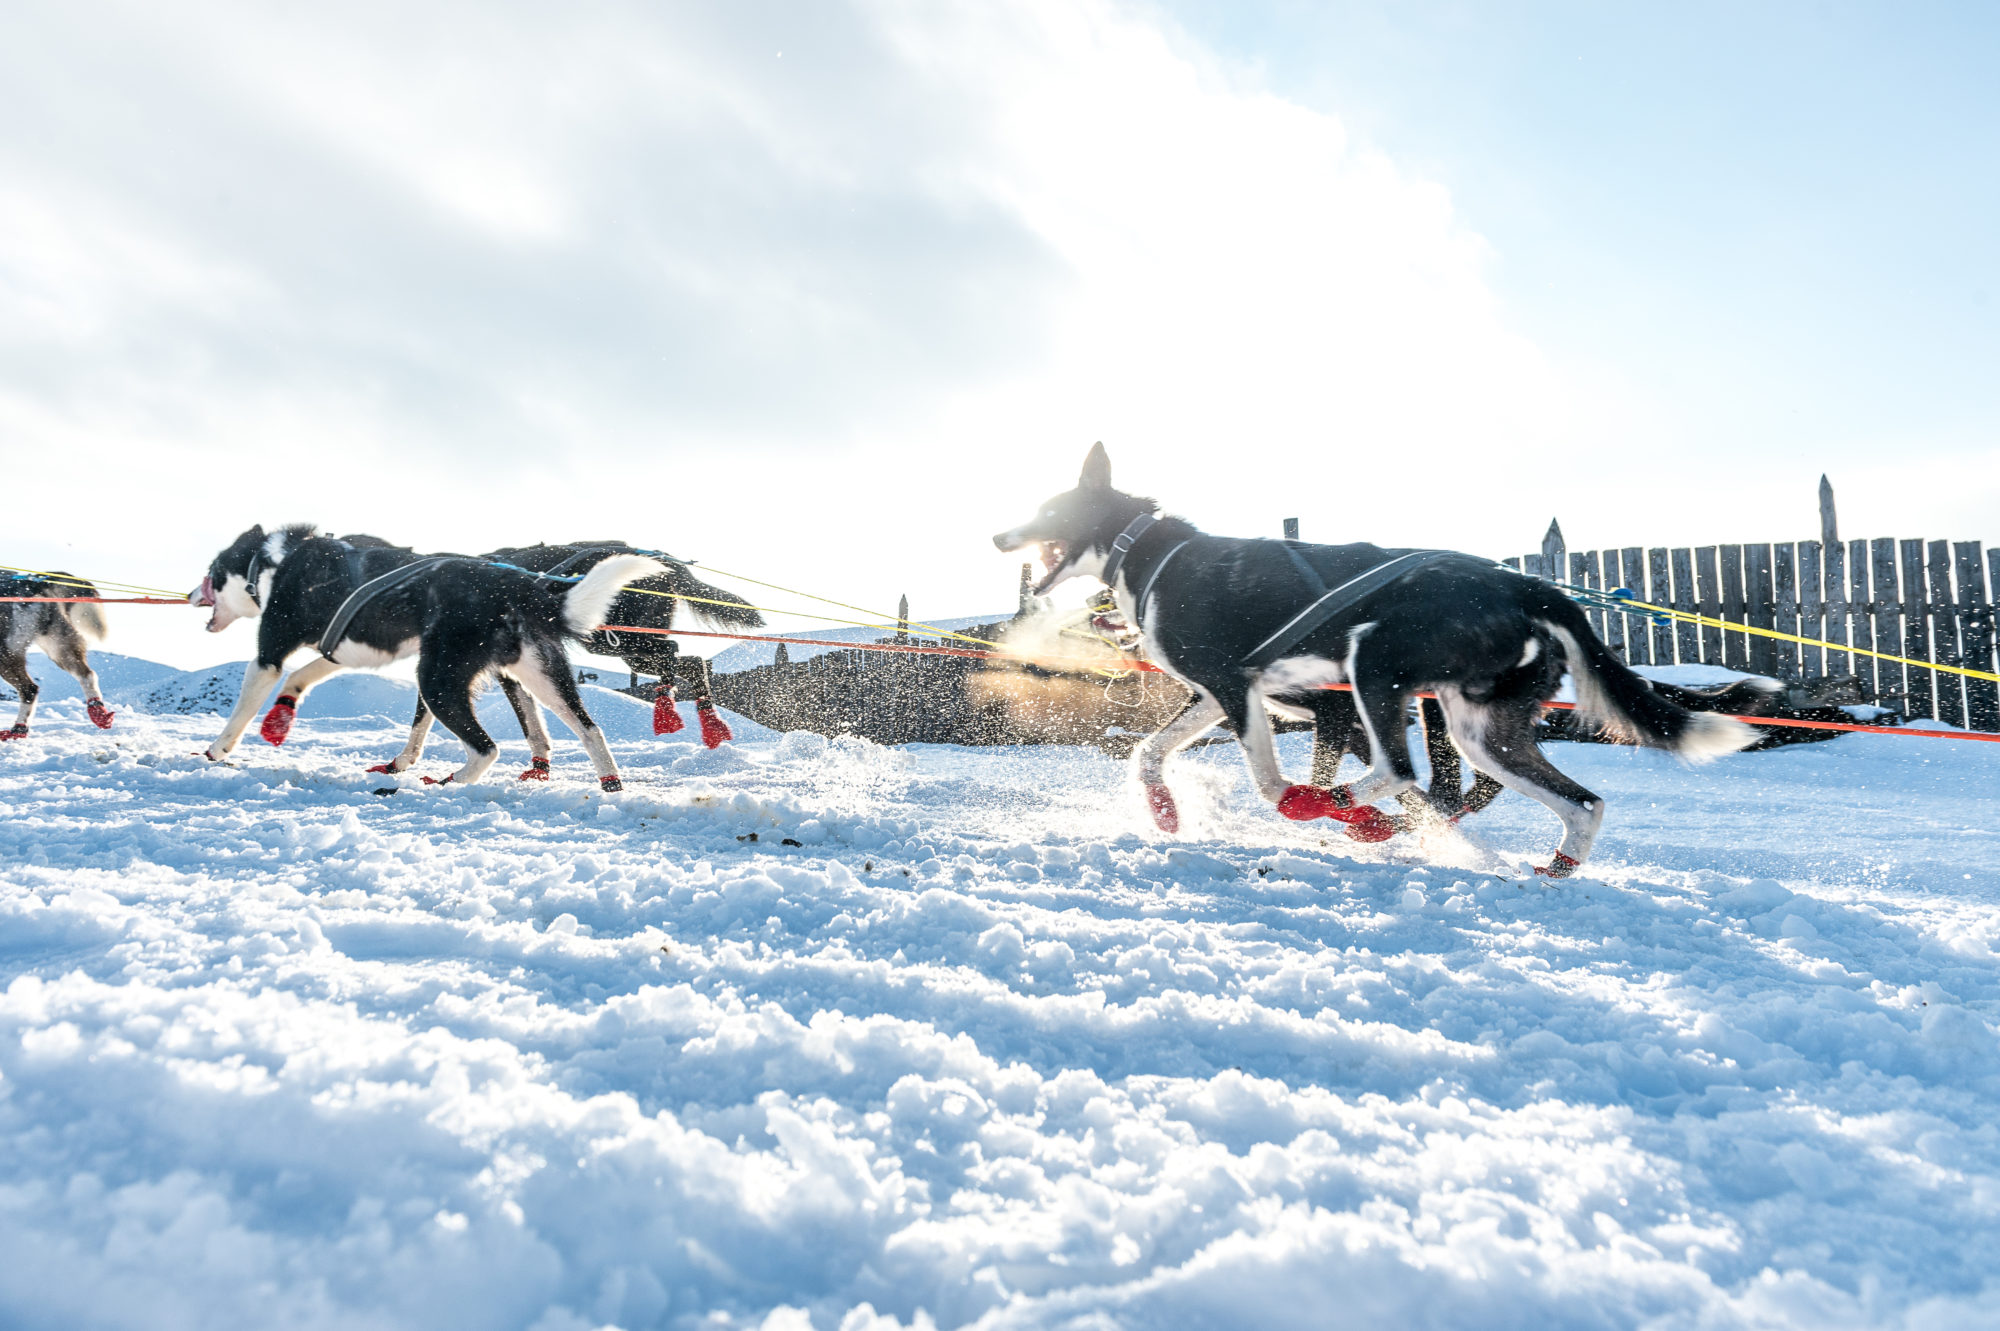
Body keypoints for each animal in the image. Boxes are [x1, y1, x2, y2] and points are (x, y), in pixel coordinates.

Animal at [188, 523, 660, 783]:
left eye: (211, 570)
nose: (192, 595)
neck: (276, 562)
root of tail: (519, 588)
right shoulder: (348, 650)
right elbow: (301, 676)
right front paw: (282, 714)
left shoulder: (270, 652)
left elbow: (245, 707)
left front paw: (216, 750)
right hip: (540, 678)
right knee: (589, 729)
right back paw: (610, 782)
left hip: (438, 678)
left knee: (486, 749)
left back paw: (450, 780)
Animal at [992, 445, 1760, 875]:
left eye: (1049, 509)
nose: (999, 536)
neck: (1146, 552)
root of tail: (1523, 584)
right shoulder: (1215, 695)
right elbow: (1147, 751)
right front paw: (1162, 810)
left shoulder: (1237, 689)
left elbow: (1268, 781)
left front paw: (1297, 801)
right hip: (1481, 730)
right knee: (1580, 801)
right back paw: (1556, 865)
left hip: (1375, 668)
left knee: (1402, 772)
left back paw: (1344, 811)